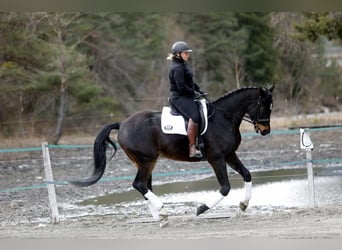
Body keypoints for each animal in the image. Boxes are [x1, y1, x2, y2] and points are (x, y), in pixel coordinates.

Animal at [71, 86, 276, 223]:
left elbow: (247, 174)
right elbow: (225, 187)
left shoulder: (230, 154)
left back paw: (160, 215)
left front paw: (244, 204)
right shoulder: (216, 158)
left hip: (145, 162)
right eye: (264, 106)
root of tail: (122, 124)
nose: (265, 131)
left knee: (144, 186)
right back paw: (161, 210)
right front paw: (201, 209)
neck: (223, 119)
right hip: (147, 161)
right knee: (139, 184)